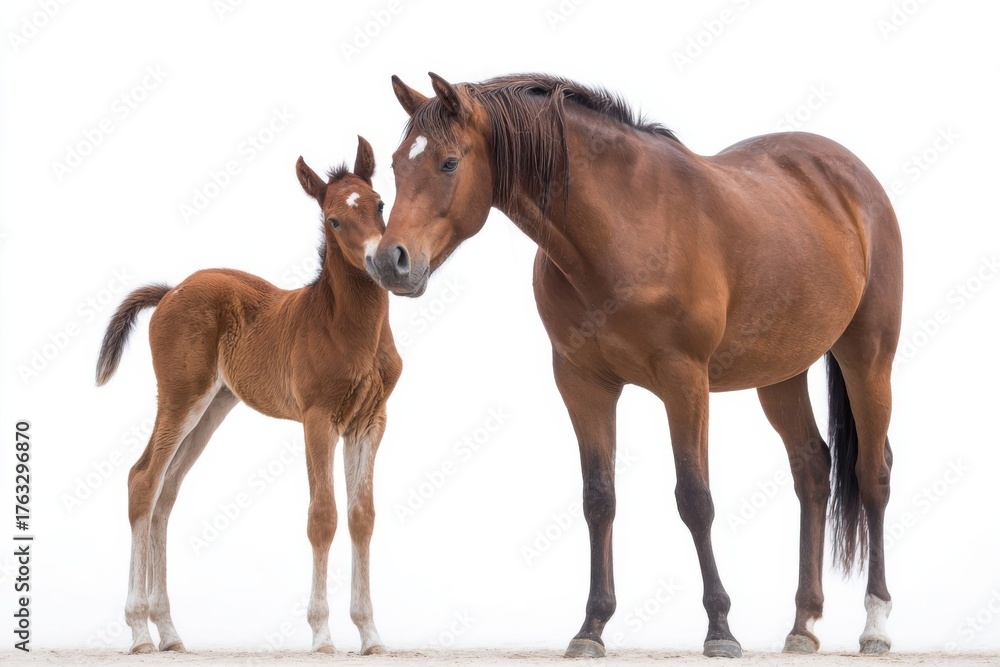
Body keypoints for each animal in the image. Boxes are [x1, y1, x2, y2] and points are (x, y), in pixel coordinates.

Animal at [96, 137, 401, 655]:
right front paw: (321, 635)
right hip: (180, 398)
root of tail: (171, 291)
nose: (380, 261)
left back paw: (169, 632)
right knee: (143, 479)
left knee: (167, 492)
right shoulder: (318, 418)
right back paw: (139, 632)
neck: (345, 326)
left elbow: (363, 517)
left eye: (380, 204)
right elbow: (323, 516)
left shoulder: (370, 421)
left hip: (213, 407)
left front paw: (371, 635)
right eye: (333, 220)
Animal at [367, 73, 901, 658]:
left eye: (448, 163)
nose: (389, 261)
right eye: (395, 164)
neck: (626, 225)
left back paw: (875, 624)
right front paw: (591, 628)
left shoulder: (685, 381)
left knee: (871, 474)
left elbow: (695, 499)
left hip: (868, 357)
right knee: (812, 470)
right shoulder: (582, 383)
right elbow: (598, 499)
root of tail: (850, 177)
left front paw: (720, 628)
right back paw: (803, 624)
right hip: (780, 375)